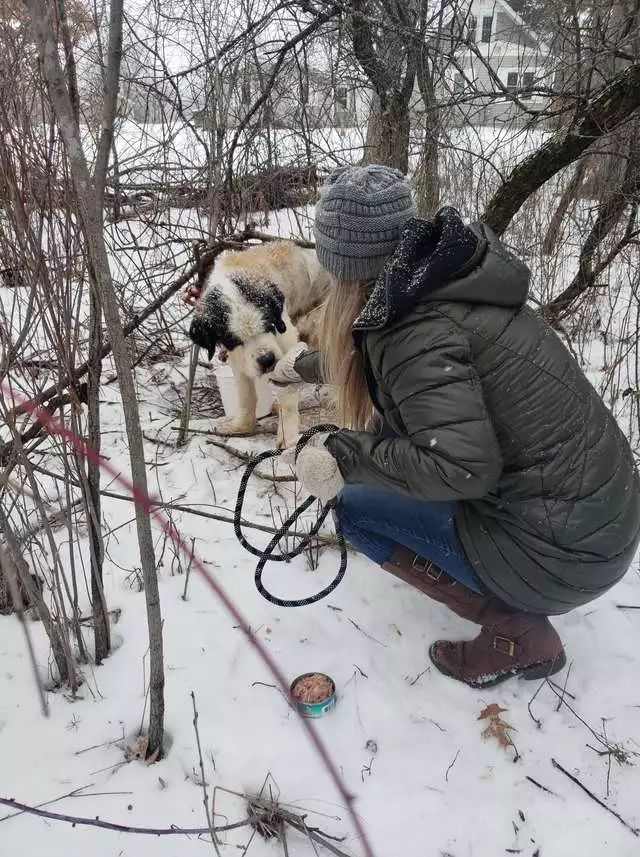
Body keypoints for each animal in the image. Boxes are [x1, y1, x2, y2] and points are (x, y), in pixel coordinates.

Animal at [188, 237, 330, 444]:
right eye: (232, 339)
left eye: (269, 325)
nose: (267, 360)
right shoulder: (238, 357)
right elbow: (245, 395)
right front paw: (242, 426)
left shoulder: (286, 339)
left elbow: (287, 395)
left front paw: (287, 437)